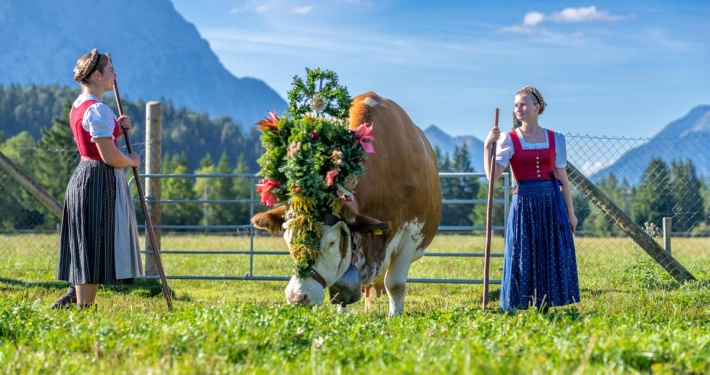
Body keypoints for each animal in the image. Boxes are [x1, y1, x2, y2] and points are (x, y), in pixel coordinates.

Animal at [250, 92, 440, 318]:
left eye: (332, 242)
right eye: (289, 239)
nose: (298, 297)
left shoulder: (411, 234)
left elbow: (395, 285)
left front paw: (394, 316)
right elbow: (342, 289)